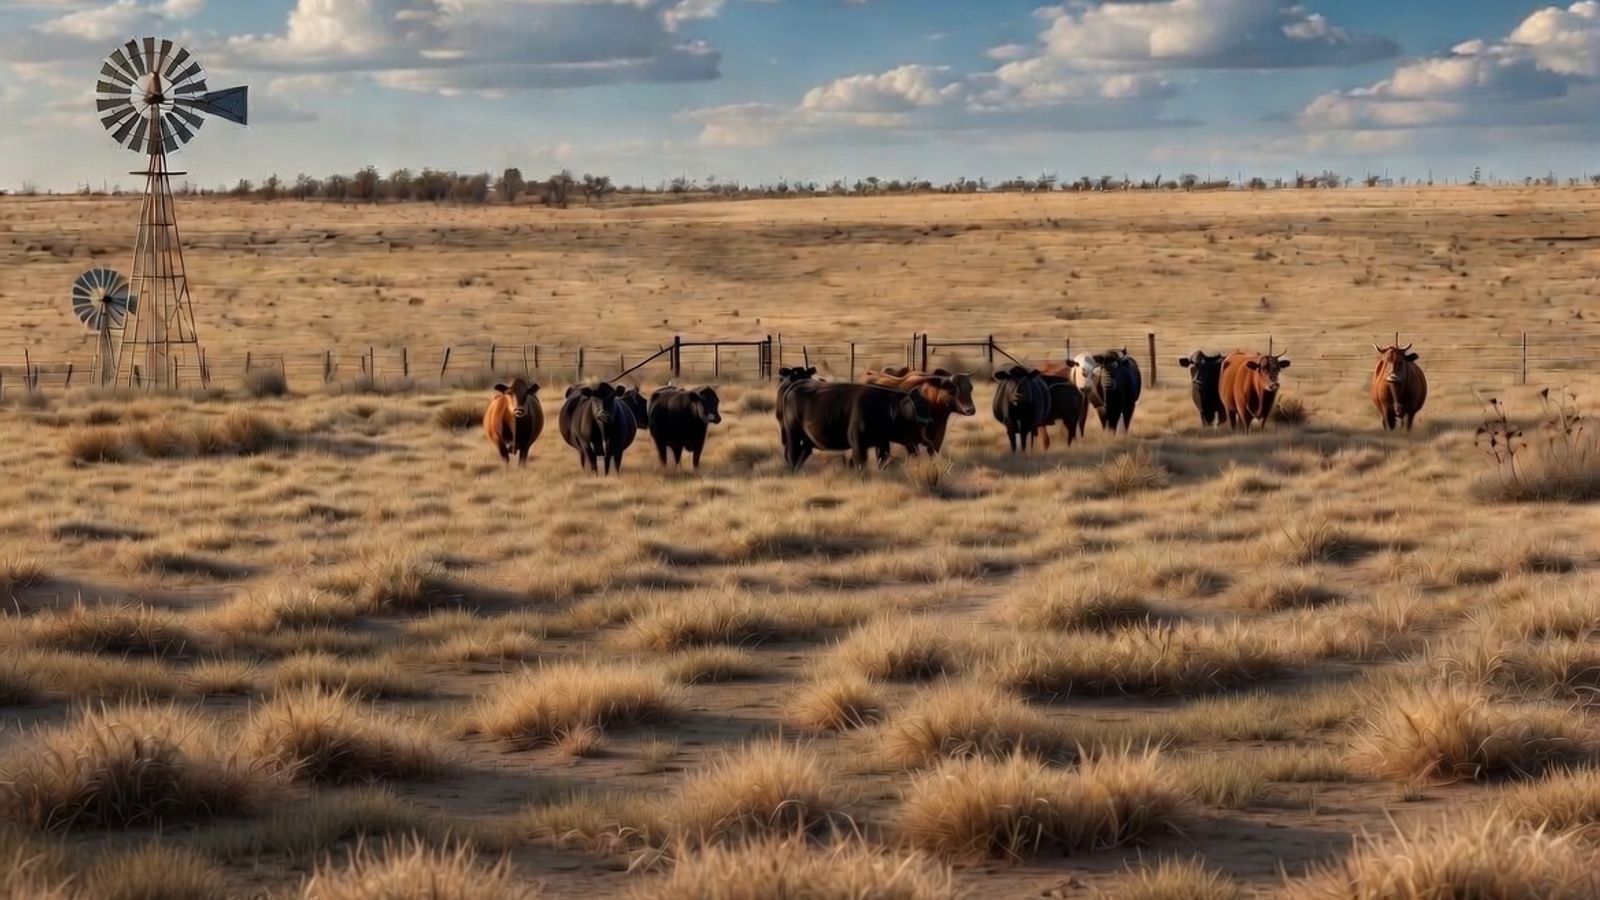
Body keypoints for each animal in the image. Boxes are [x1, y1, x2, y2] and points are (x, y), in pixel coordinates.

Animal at [780, 382, 932, 471]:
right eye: (913, 423)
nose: (925, 443)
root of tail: (793, 388)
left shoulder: (882, 442)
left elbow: (882, 460)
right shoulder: (858, 443)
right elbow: (860, 463)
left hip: (808, 441)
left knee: (802, 454)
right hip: (793, 434)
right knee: (792, 454)